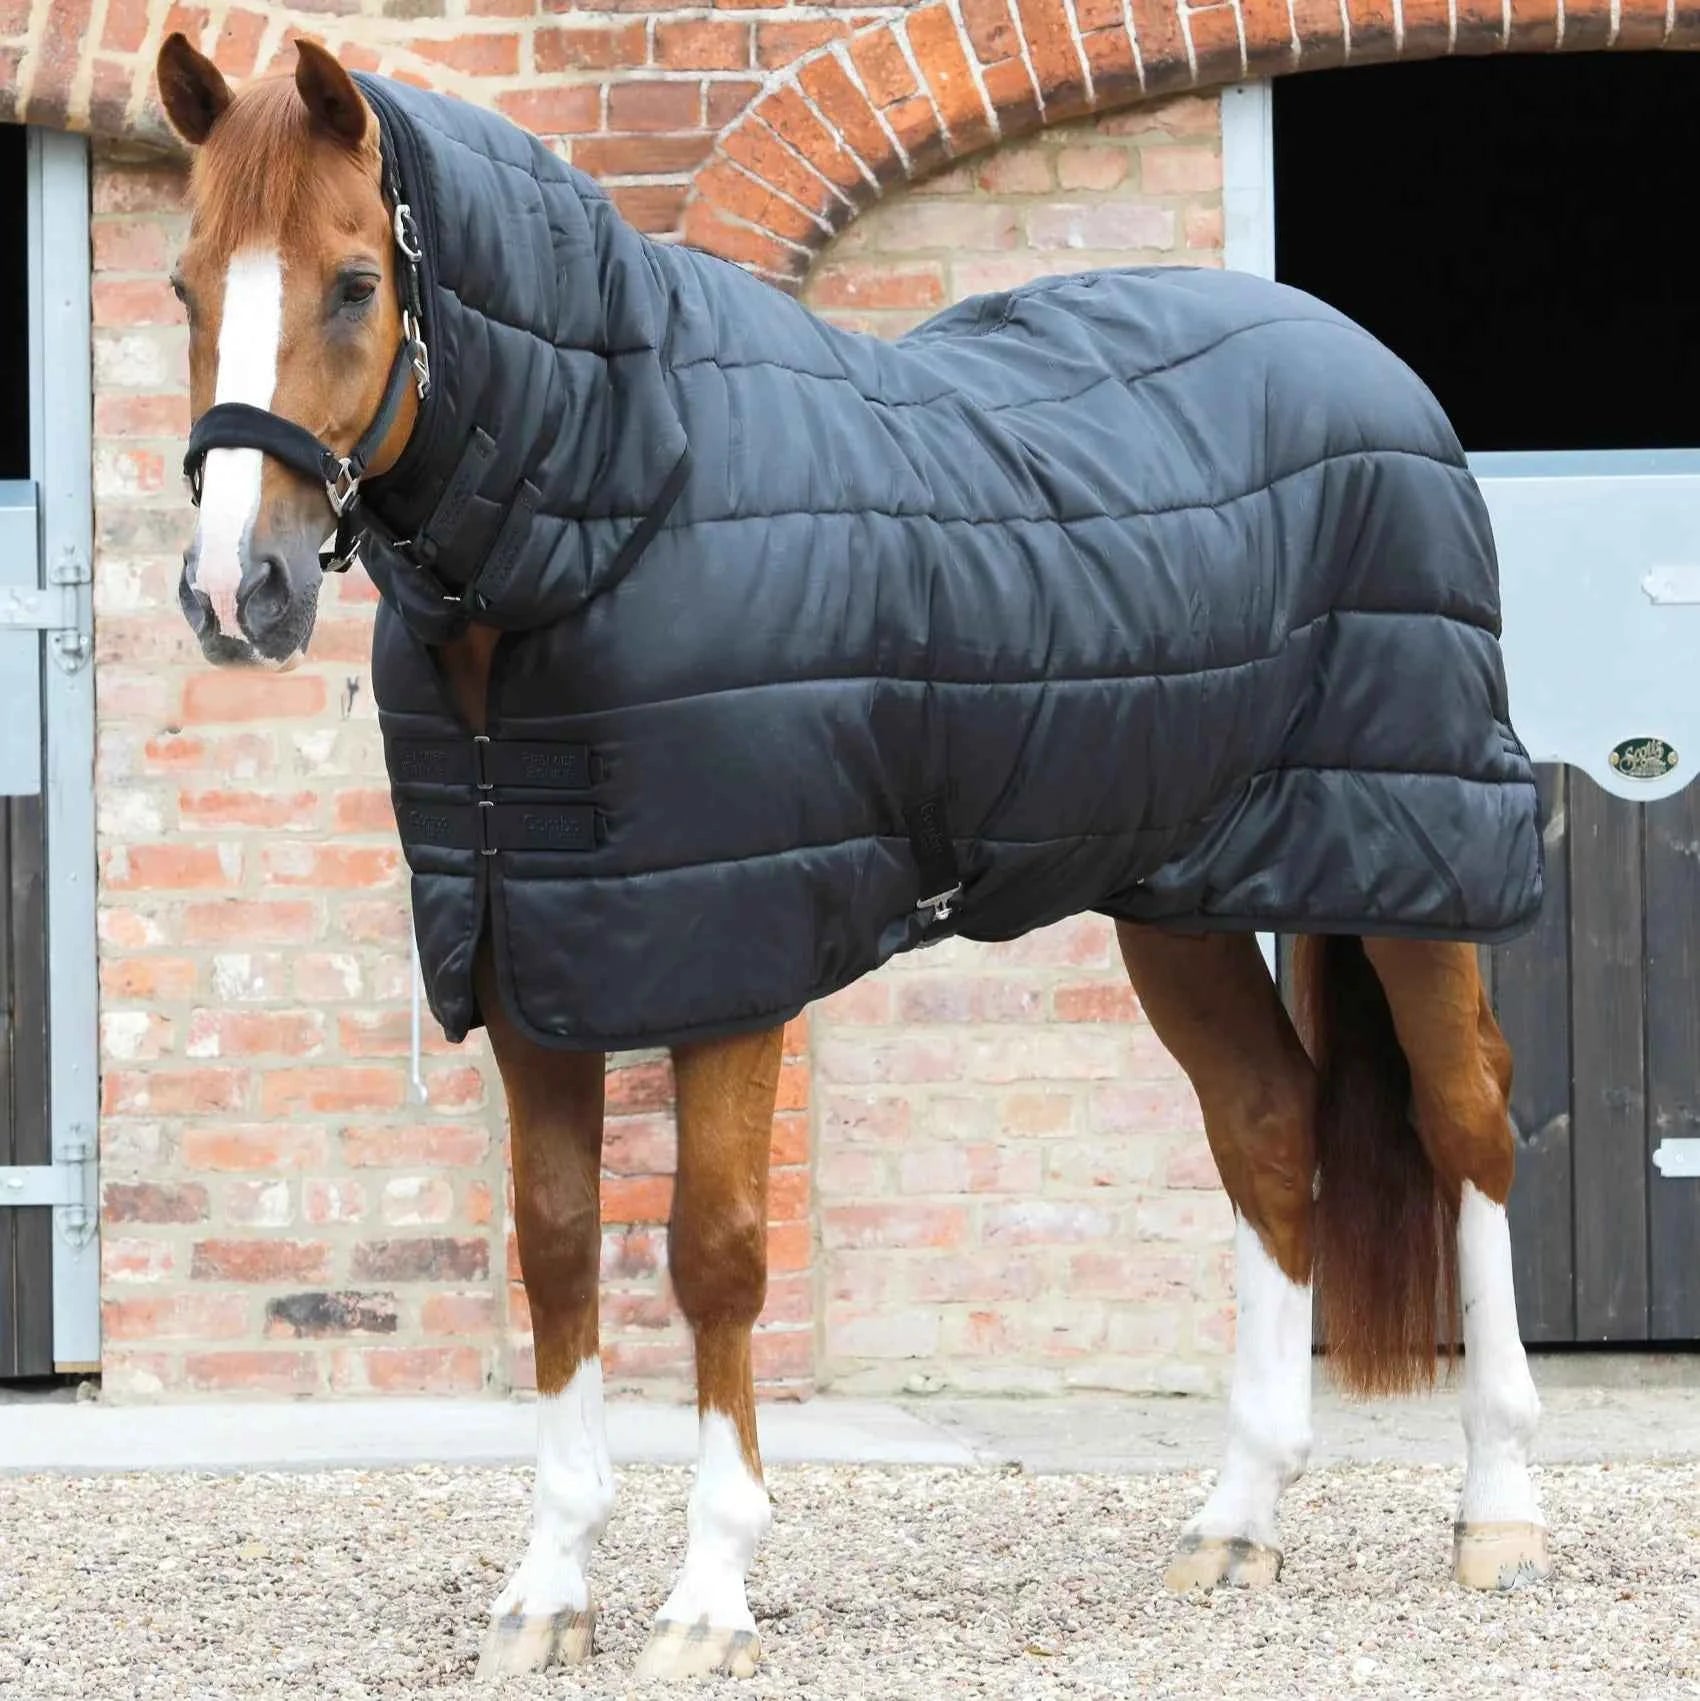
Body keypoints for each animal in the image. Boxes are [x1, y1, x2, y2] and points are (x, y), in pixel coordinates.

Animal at [154, 32, 1552, 1683]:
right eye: (184, 283)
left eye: (357, 280)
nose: (235, 591)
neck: (617, 505)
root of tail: (1370, 368)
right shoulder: (526, 963)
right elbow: (557, 1248)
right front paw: (548, 1590)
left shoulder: (733, 967)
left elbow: (714, 1251)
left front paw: (708, 1596)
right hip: (1178, 894)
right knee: (1271, 1129)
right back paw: (1236, 1520)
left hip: (1417, 858)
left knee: (1468, 1127)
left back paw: (1499, 1510)